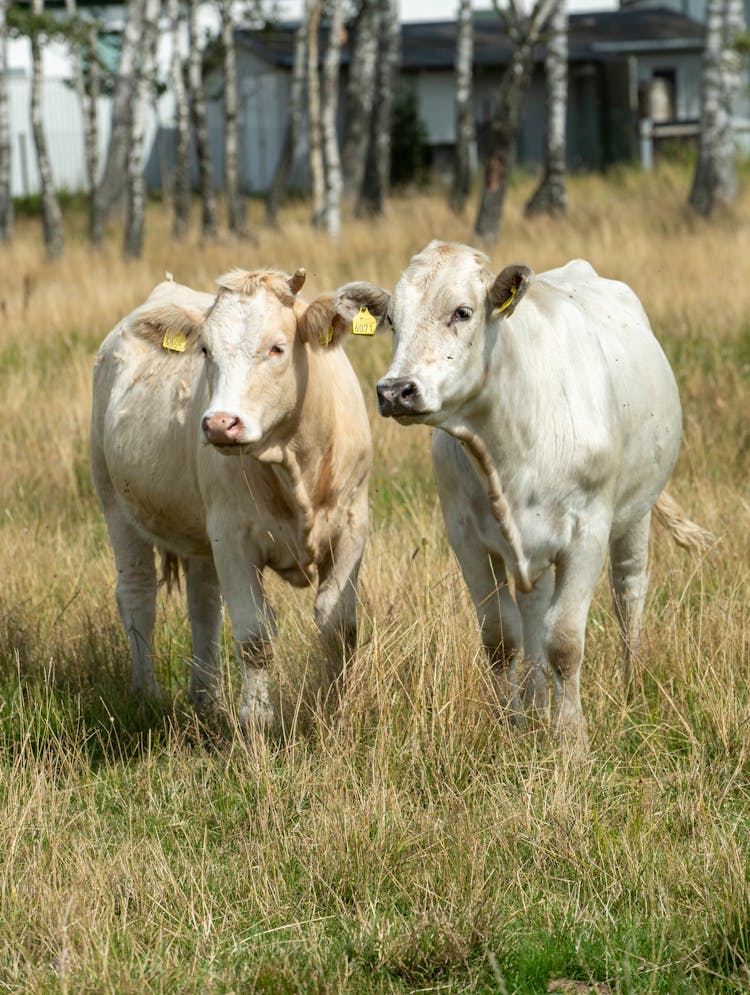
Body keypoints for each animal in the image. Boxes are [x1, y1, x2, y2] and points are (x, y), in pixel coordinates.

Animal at [92, 270, 374, 732]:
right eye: (205, 349)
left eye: (277, 347)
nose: (220, 423)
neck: (294, 463)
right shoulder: (234, 536)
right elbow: (254, 634)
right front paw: (257, 721)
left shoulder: (352, 525)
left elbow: (338, 625)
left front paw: (337, 711)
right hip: (116, 505)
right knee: (137, 596)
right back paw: (146, 694)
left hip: (201, 535)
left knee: (204, 603)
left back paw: (208, 699)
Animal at [340, 239, 712, 740]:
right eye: (393, 321)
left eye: (462, 312)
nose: (395, 391)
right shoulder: (467, 538)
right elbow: (501, 637)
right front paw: (510, 725)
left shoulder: (588, 532)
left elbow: (566, 641)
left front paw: (571, 738)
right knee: (535, 609)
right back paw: (536, 706)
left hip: (635, 514)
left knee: (628, 592)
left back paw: (630, 684)